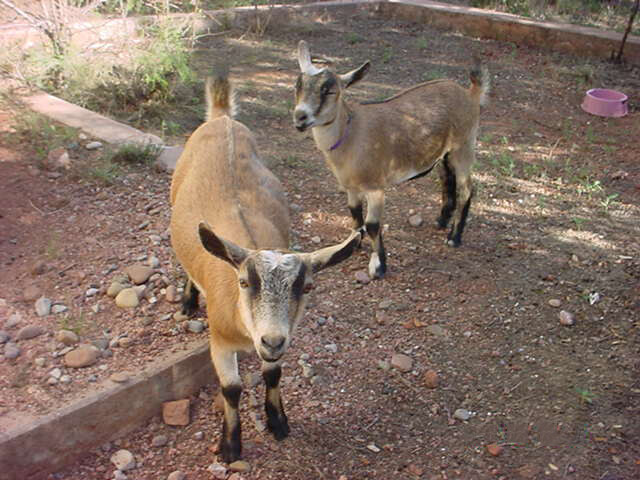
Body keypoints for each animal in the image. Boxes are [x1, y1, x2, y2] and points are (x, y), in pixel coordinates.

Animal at [169, 74, 360, 462]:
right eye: (244, 282)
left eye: (307, 287)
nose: (271, 340)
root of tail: (222, 118)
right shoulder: (219, 341)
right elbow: (231, 388)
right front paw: (230, 446)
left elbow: (274, 374)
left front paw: (278, 422)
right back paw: (188, 300)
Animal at [292, 41, 488, 280]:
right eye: (297, 87)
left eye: (330, 91)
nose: (300, 117)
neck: (350, 133)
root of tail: (471, 94)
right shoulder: (351, 187)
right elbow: (354, 213)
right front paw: (353, 244)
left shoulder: (375, 187)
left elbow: (372, 224)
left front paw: (378, 266)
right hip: (445, 153)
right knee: (447, 179)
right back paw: (441, 221)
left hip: (464, 146)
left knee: (467, 188)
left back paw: (454, 237)